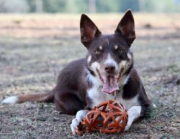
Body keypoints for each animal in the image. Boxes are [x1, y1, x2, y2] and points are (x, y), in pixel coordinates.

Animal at [2, 10, 153, 135]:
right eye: (97, 51)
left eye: (120, 50)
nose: (109, 67)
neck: (112, 94)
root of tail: (55, 87)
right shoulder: (90, 106)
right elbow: (82, 111)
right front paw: (76, 122)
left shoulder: (146, 105)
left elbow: (134, 109)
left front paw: (125, 119)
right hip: (68, 103)